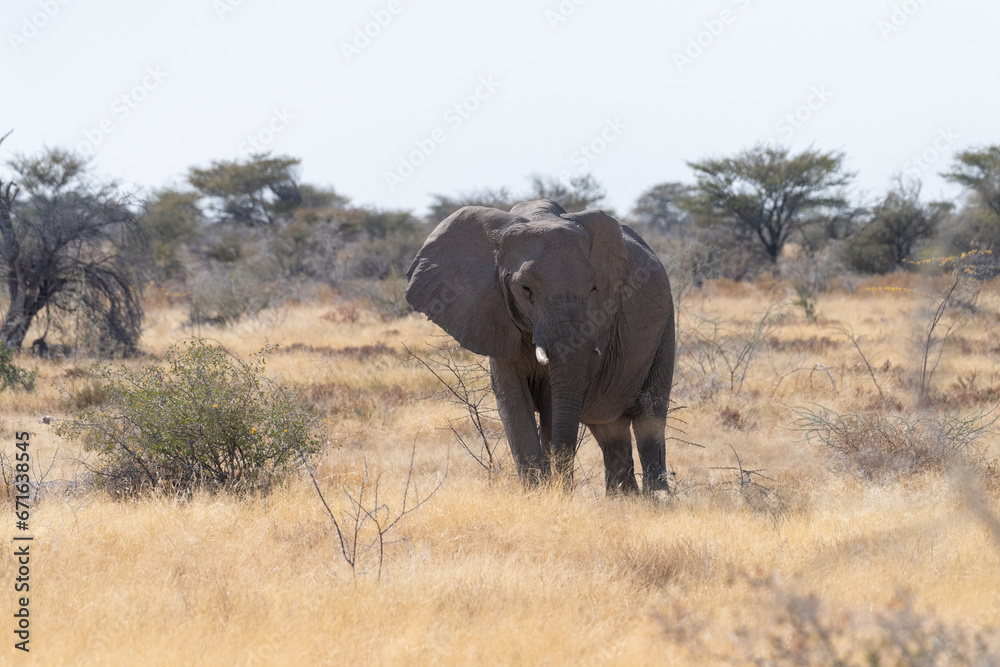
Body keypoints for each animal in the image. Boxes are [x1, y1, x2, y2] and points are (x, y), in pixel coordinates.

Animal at [402, 198, 676, 496]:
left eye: (594, 288)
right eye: (525, 289)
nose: (564, 486)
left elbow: (552, 402)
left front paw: (554, 493)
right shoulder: (493, 313)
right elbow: (512, 400)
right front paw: (537, 494)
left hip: (665, 324)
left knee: (649, 414)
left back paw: (656, 498)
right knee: (609, 428)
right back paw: (622, 499)